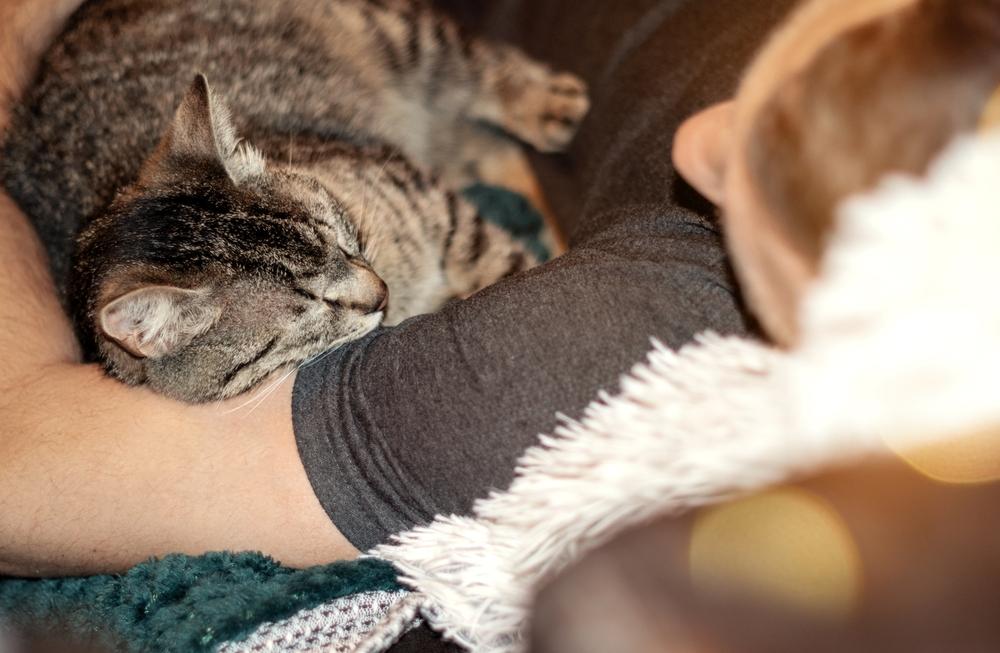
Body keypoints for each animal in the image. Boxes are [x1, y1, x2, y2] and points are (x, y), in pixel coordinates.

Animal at [0, 0, 588, 402]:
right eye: (310, 308)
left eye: (340, 234)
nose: (381, 292)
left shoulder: (429, 198)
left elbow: (501, 260)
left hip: (394, 32)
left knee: (473, 66)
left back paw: (544, 103)